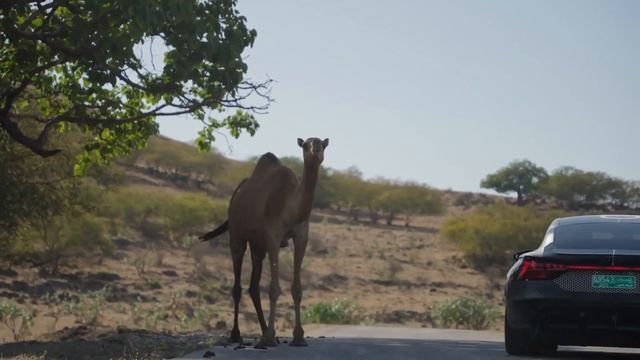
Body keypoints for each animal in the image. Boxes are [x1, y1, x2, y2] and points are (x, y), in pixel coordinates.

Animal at [200, 136, 330, 348]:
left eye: (323, 144)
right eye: (305, 145)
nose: (316, 149)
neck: (291, 206)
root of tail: (236, 193)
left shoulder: (301, 236)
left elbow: (297, 289)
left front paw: (298, 337)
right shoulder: (273, 236)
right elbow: (274, 289)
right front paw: (270, 336)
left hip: (258, 246)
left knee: (254, 287)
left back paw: (264, 333)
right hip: (237, 235)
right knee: (237, 286)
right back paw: (237, 334)